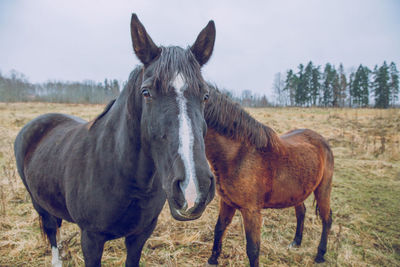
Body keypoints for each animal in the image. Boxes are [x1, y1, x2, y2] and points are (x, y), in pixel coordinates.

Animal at [14, 14, 216, 267]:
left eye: (206, 95)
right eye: (146, 92)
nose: (192, 189)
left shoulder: (140, 235)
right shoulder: (91, 238)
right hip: (40, 205)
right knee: (52, 233)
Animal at [205, 87, 332, 266]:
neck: (238, 155)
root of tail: (322, 140)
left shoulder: (251, 211)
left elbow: (253, 249)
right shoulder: (227, 202)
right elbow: (219, 228)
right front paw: (212, 260)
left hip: (323, 189)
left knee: (327, 218)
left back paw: (320, 255)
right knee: (301, 212)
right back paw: (296, 242)